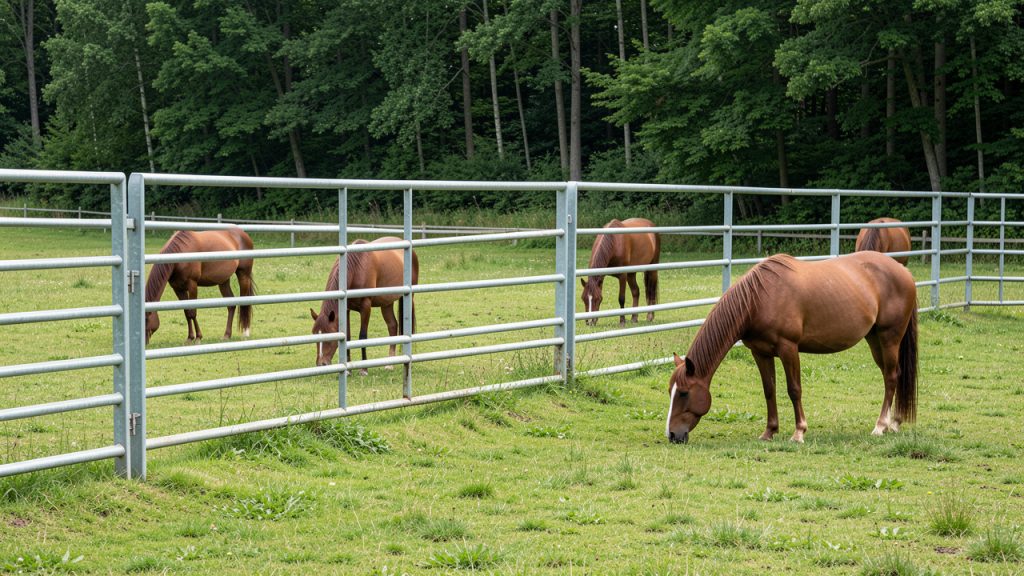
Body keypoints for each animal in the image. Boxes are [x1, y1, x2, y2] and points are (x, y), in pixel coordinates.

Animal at [310, 237, 419, 374]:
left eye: (329, 336)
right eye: (314, 334)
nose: (321, 364)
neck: (356, 268)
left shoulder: (366, 307)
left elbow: (362, 336)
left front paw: (364, 369)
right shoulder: (346, 309)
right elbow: (348, 336)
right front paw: (348, 370)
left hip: (409, 297)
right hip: (386, 303)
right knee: (393, 326)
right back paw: (390, 364)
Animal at [666, 251, 918, 444]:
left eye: (684, 392)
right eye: (671, 391)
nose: (672, 434)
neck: (759, 299)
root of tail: (902, 271)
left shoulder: (788, 349)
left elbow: (794, 389)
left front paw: (799, 432)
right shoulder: (760, 352)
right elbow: (769, 390)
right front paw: (769, 432)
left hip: (889, 337)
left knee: (891, 377)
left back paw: (881, 426)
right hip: (874, 339)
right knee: (890, 374)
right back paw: (894, 422)